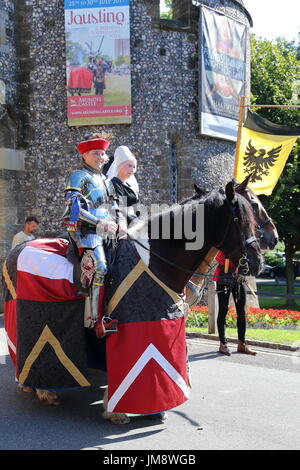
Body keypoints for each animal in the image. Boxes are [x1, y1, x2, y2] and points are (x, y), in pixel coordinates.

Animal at [2, 180, 262, 422]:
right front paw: (116, 410)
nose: (257, 263)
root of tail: (17, 250)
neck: (157, 258)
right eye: (239, 218)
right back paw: (43, 390)